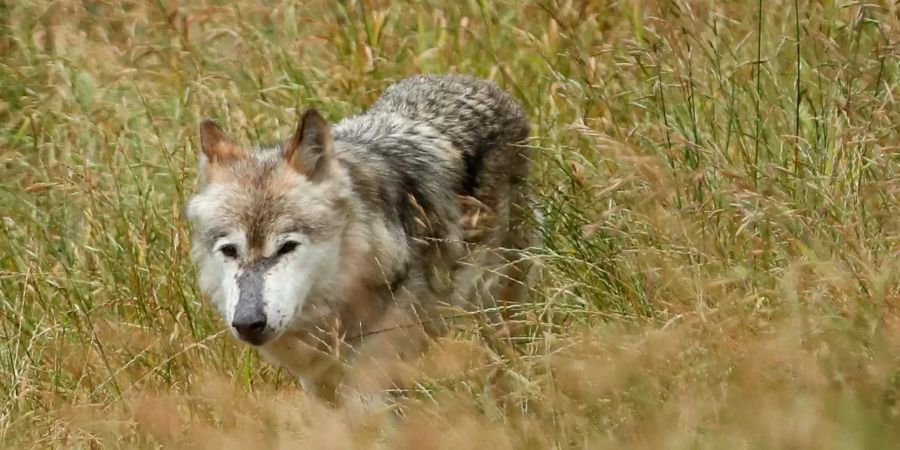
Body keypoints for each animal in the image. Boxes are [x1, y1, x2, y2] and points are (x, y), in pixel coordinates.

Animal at [185, 74, 532, 404]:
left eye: (287, 247)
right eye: (230, 250)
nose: (248, 323)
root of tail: (479, 84)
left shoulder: (371, 380)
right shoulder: (319, 384)